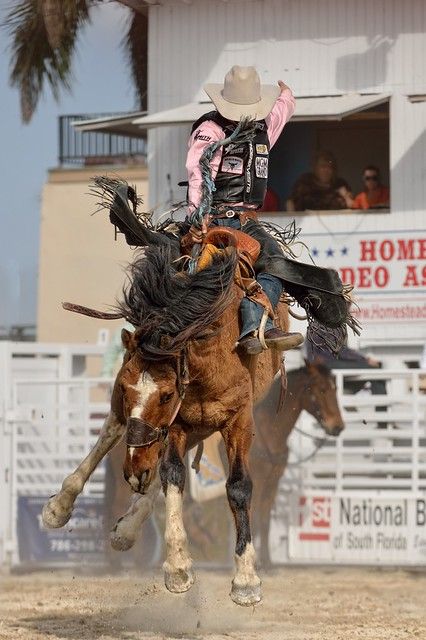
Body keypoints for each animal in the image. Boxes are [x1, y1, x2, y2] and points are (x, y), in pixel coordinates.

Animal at [42, 244, 286, 604]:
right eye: (125, 388)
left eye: (168, 394)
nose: (133, 472)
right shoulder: (175, 425)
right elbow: (172, 476)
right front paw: (179, 567)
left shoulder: (239, 420)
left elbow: (238, 487)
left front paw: (245, 579)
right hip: (141, 427)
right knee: (111, 439)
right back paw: (61, 507)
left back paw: (127, 526)